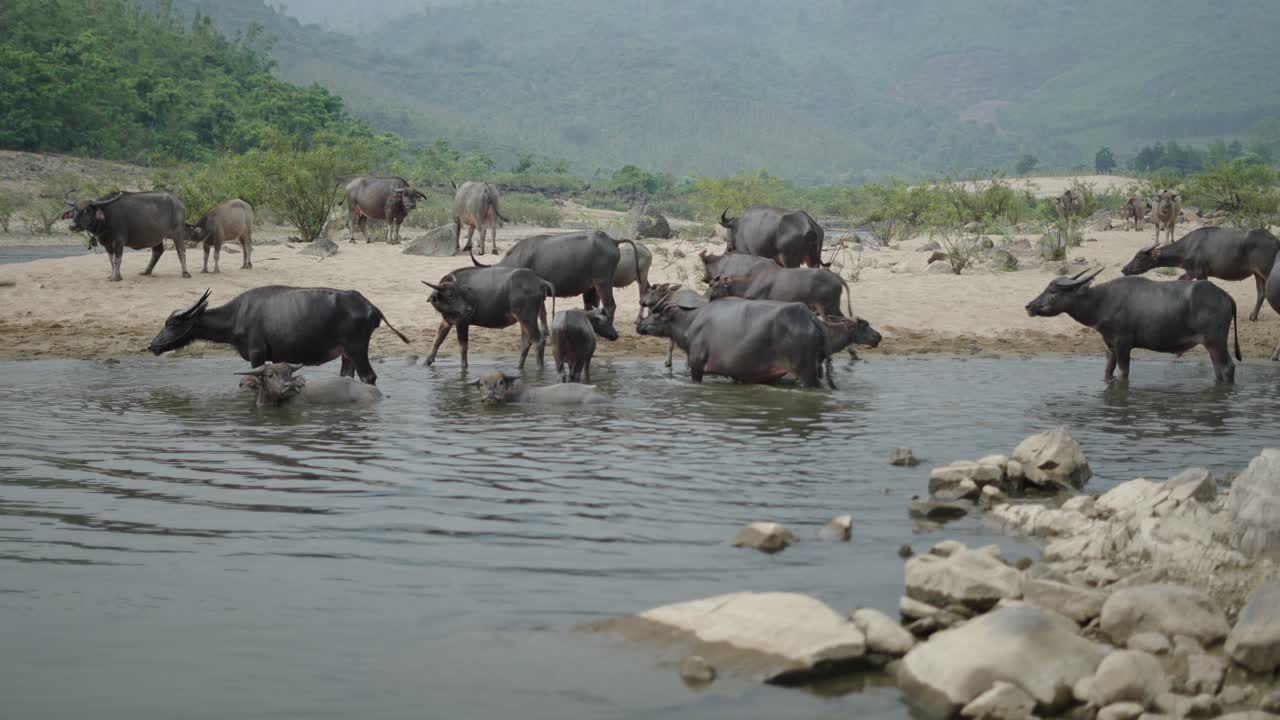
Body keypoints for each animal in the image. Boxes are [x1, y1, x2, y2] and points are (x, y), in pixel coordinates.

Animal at [148, 286, 409, 385]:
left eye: (171, 323)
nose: (153, 346)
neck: (238, 315)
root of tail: (371, 306)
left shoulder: (257, 354)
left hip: (358, 349)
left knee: (369, 377)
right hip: (347, 354)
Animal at [1025, 268, 1240, 383]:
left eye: (1053, 291)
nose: (1029, 306)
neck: (1101, 301)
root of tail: (1225, 296)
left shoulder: (1123, 344)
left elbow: (1123, 373)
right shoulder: (1111, 346)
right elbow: (1108, 373)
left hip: (1216, 341)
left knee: (1228, 367)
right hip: (1212, 346)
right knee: (1218, 370)